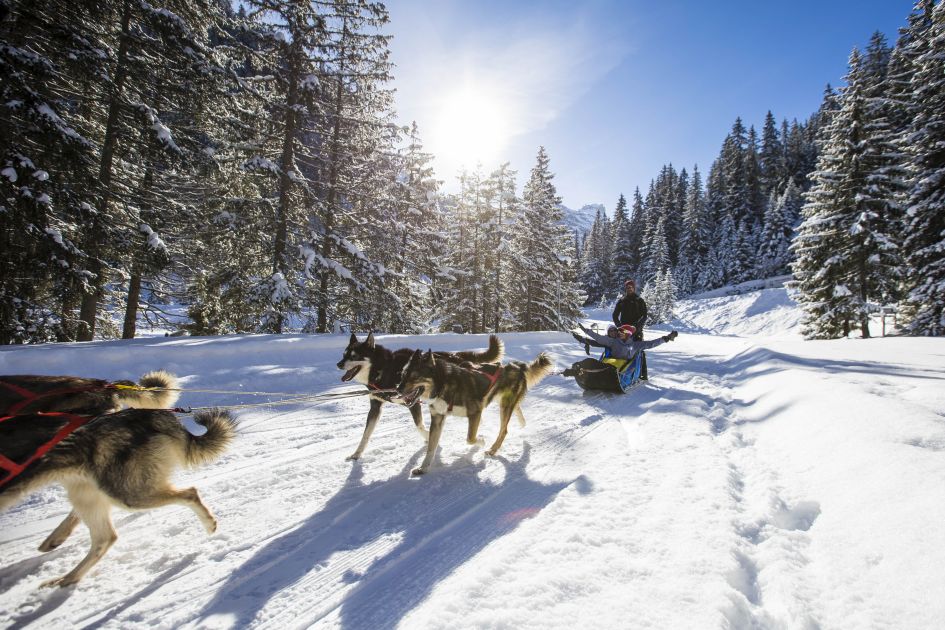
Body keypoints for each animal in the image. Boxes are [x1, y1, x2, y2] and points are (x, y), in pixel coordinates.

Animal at [0, 410, 236, 588]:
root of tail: (154, 415)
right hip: (93, 491)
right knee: (105, 537)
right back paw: (65, 576)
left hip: (127, 493)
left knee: (190, 493)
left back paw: (209, 523)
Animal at [338, 334, 506, 462]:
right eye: (344, 354)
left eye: (354, 356)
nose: (338, 364)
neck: (384, 369)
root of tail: (455, 355)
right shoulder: (376, 406)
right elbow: (366, 434)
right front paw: (356, 454)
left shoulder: (412, 402)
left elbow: (419, 425)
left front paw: (428, 438)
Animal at [392, 348, 552, 476]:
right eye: (403, 374)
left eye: (414, 376)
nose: (397, 389)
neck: (444, 384)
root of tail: (517, 366)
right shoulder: (438, 418)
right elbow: (431, 448)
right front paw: (423, 468)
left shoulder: (475, 413)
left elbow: (470, 438)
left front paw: (481, 441)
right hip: (502, 400)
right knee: (516, 407)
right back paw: (522, 422)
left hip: (504, 406)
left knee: (504, 430)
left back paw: (492, 450)